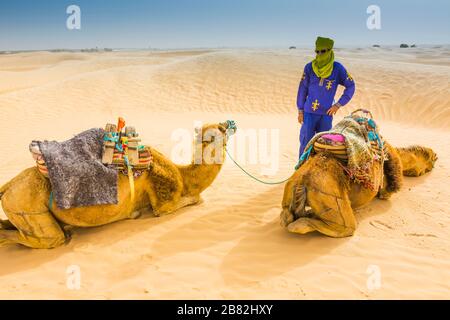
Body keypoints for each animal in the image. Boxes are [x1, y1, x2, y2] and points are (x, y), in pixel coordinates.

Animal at [0, 121, 234, 249]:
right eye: (217, 131)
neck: (183, 173)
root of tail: (7, 187)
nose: (227, 124)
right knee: (50, 238)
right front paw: (136, 214)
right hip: (27, 206)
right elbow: (192, 200)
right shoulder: (165, 200)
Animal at [280, 145, 438, 238]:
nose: (435, 158)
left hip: (289, 189)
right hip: (332, 202)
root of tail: (302, 181)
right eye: (431, 161)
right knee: (344, 227)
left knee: (286, 216)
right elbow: (386, 193)